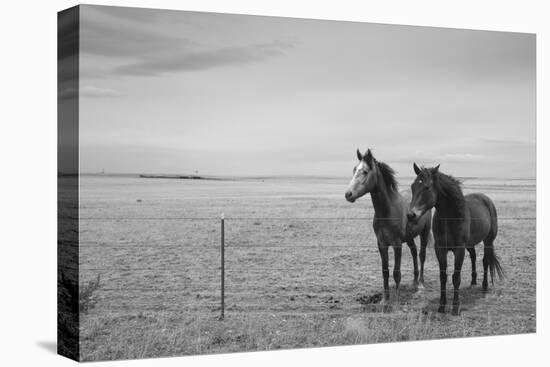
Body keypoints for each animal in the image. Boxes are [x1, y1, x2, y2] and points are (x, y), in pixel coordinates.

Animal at [344, 148, 436, 306]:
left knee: (421, 255)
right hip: (409, 237)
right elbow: (385, 271)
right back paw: (414, 281)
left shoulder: (396, 244)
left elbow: (396, 273)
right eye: (354, 169)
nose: (348, 194)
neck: (387, 211)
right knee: (413, 252)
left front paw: (396, 300)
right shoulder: (381, 244)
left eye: (365, 171)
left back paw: (420, 284)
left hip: (424, 233)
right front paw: (385, 299)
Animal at [408, 165, 506, 316]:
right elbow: (443, 277)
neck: (450, 217)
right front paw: (441, 306)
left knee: (485, 261)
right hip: (470, 244)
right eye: (413, 186)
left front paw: (455, 307)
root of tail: (486, 199)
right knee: (473, 256)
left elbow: (456, 277)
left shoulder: (459, 250)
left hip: (488, 241)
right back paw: (473, 282)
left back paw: (484, 286)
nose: (411, 215)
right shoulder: (440, 249)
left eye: (427, 187)